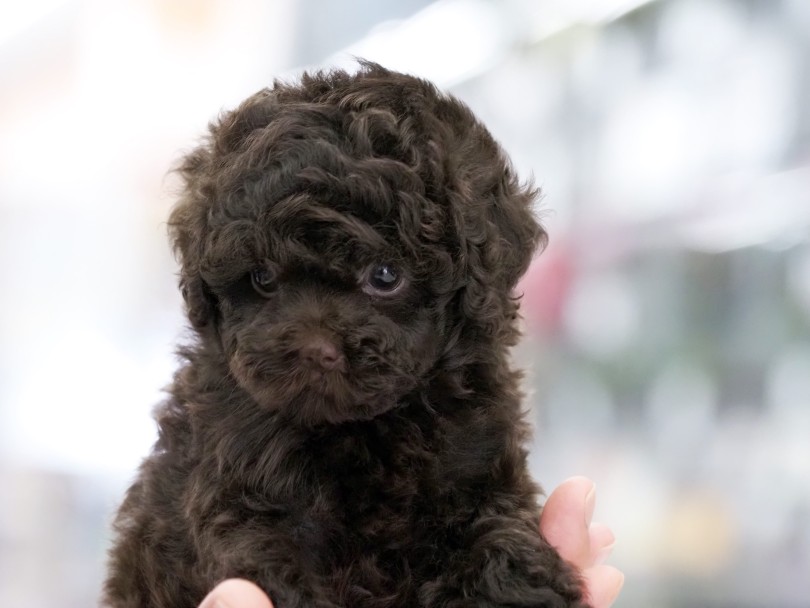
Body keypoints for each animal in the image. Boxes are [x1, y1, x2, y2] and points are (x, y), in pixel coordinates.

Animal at [105, 63, 588, 608]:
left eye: (385, 275)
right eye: (262, 278)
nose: (314, 351)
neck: (360, 429)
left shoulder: (478, 465)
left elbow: (496, 527)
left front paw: (519, 589)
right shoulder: (244, 497)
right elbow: (275, 568)